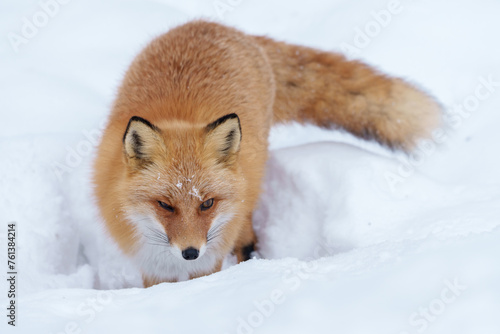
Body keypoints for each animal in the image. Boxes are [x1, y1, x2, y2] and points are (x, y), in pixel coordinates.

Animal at [94, 19, 442, 286]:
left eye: (207, 203)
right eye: (165, 205)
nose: (190, 252)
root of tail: (217, 25)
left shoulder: (209, 259)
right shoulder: (152, 267)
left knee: (248, 236)